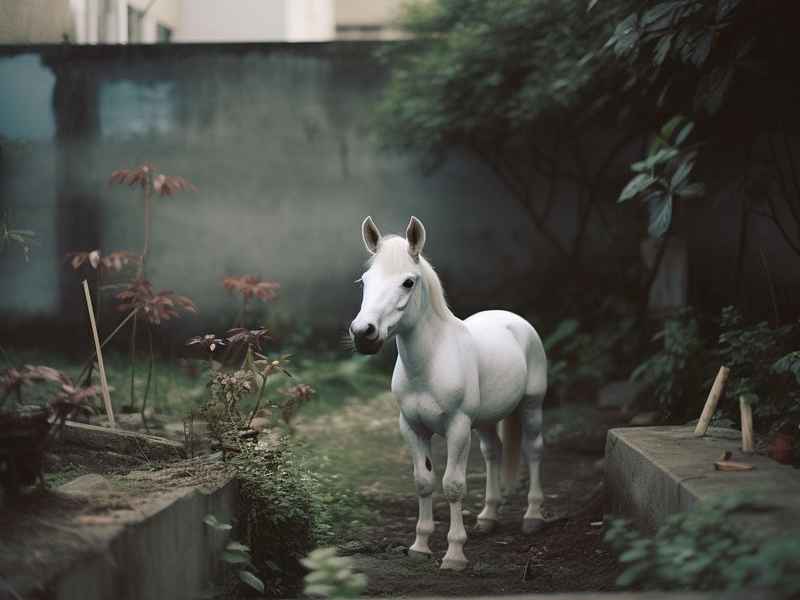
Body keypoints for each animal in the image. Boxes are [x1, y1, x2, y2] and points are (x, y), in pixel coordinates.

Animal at [349, 216, 547, 571]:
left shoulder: (457, 427)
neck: (429, 365)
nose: (363, 334)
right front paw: (420, 546)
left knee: (534, 449)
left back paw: (533, 517)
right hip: (484, 421)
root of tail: (514, 320)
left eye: (408, 283)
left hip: (531, 405)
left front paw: (454, 555)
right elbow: (424, 482)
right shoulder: (412, 428)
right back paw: (488, 518)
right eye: (365, 281)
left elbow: (453, 486)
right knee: (493, 452)